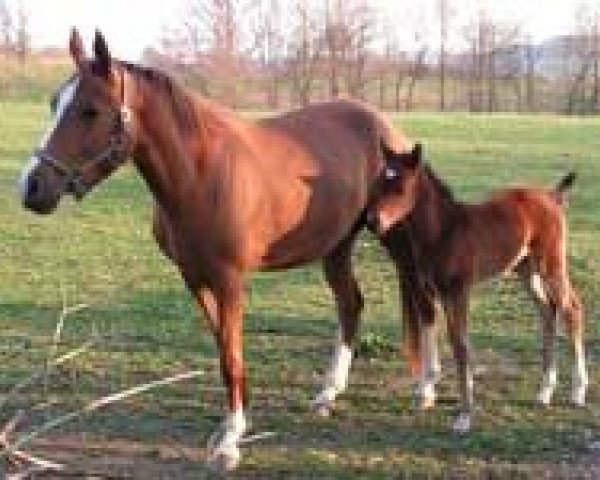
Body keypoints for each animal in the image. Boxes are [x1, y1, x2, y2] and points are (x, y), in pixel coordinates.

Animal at [18, 30, 412, 472]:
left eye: (90, 110)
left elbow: (232, 355)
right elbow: (225, 351)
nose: (31, 186)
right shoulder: (195, 278)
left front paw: (230, 442)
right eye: (55, 102)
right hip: (337, 246)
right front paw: (230, 428)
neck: (201, 174)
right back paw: (328, 393)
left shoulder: (230, 281)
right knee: (350, 304)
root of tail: (381, 125)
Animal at [368, 142, 588, 436]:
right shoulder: (427, 291)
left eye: (401, 188)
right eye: (378, 183)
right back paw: (544, 391)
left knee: (571, 309)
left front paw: (464, 415)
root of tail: (552, 196)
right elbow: (429, 333)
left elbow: (460, 345)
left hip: (551, 265)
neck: (443, 233)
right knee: (547, 311)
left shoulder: (458, 292)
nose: (372, 222)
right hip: (525, 270)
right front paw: (426, 394)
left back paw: (577, 391)